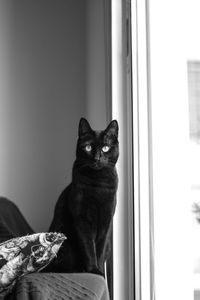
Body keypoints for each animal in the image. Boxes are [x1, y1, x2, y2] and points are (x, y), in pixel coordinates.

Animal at [47, 118, 118, 276]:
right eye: (88, 147)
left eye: (105, 148)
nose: (97, 158)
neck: (98, 183)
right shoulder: (82, 219)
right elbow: (88, 247)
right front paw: (93, 270)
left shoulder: (106, 221)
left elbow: (100, 249)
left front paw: (100, 272)